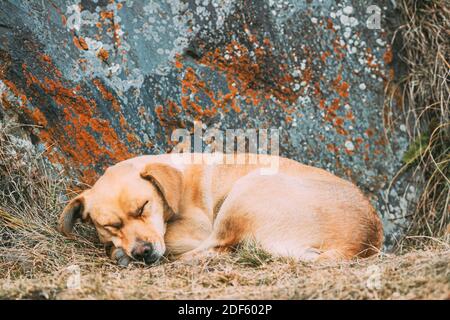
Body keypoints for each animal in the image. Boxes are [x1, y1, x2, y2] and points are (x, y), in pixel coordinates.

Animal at [59, 152, 384, 264]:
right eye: (110, 225)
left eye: (143, 207)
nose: (142, 252)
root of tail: (359, 244)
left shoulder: (194, 230)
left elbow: (174, 239)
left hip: (245, 191)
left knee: (215, 249)